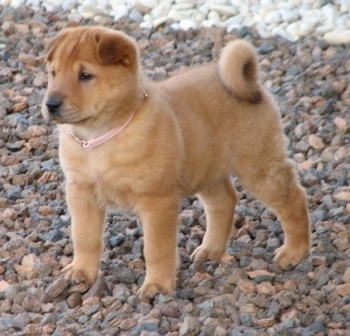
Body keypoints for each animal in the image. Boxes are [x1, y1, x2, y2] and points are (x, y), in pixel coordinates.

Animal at [41, 26, 312, 296]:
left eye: (85, 75)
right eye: (53, 73)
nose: (50, 104)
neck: (98, 138)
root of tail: (251, 81)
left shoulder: (157, 200)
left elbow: (156, 249)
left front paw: (157, 285)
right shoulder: (81, 192)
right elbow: (84, 237)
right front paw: (81, 272)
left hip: (258, 167)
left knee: (294, 201)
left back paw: (294, 253)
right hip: (206, 169)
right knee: (224, 201)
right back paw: (211, 249)